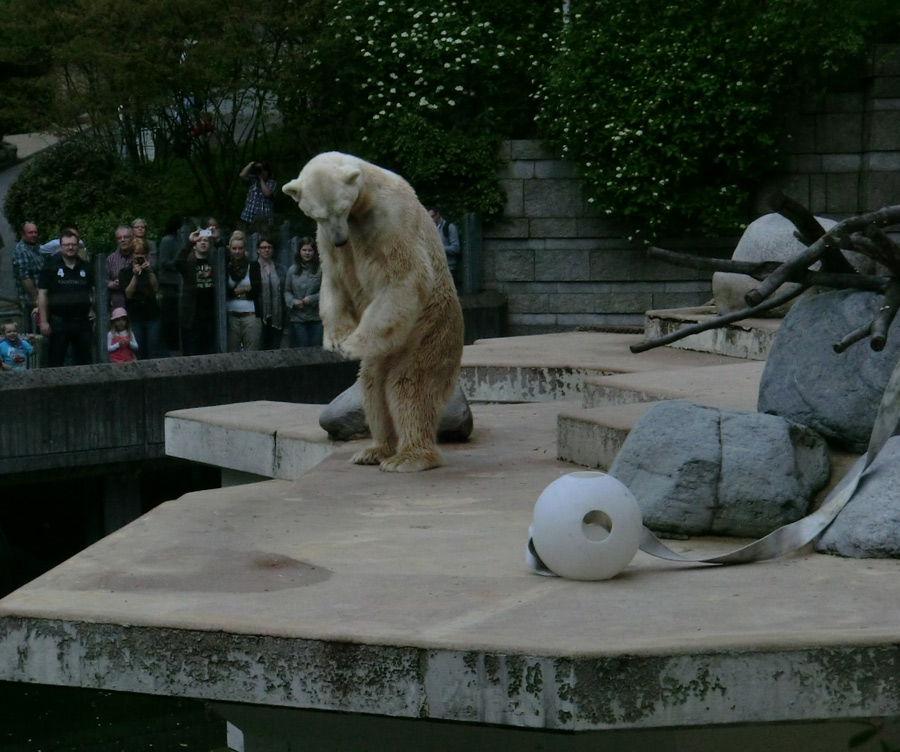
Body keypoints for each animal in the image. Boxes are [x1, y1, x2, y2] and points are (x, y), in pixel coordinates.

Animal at [282, 151, 464, 472]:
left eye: (342, 207)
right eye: (317, 215)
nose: (340, 238)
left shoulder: (390, 217)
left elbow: (405, 277)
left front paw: (351, 345)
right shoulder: (325, 239)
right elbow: (334, 279)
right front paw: (335, 340)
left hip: (426, 328)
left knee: (409, 385)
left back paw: (409, 457)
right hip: (385, 350)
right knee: (372, 384)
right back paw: (375, 450)